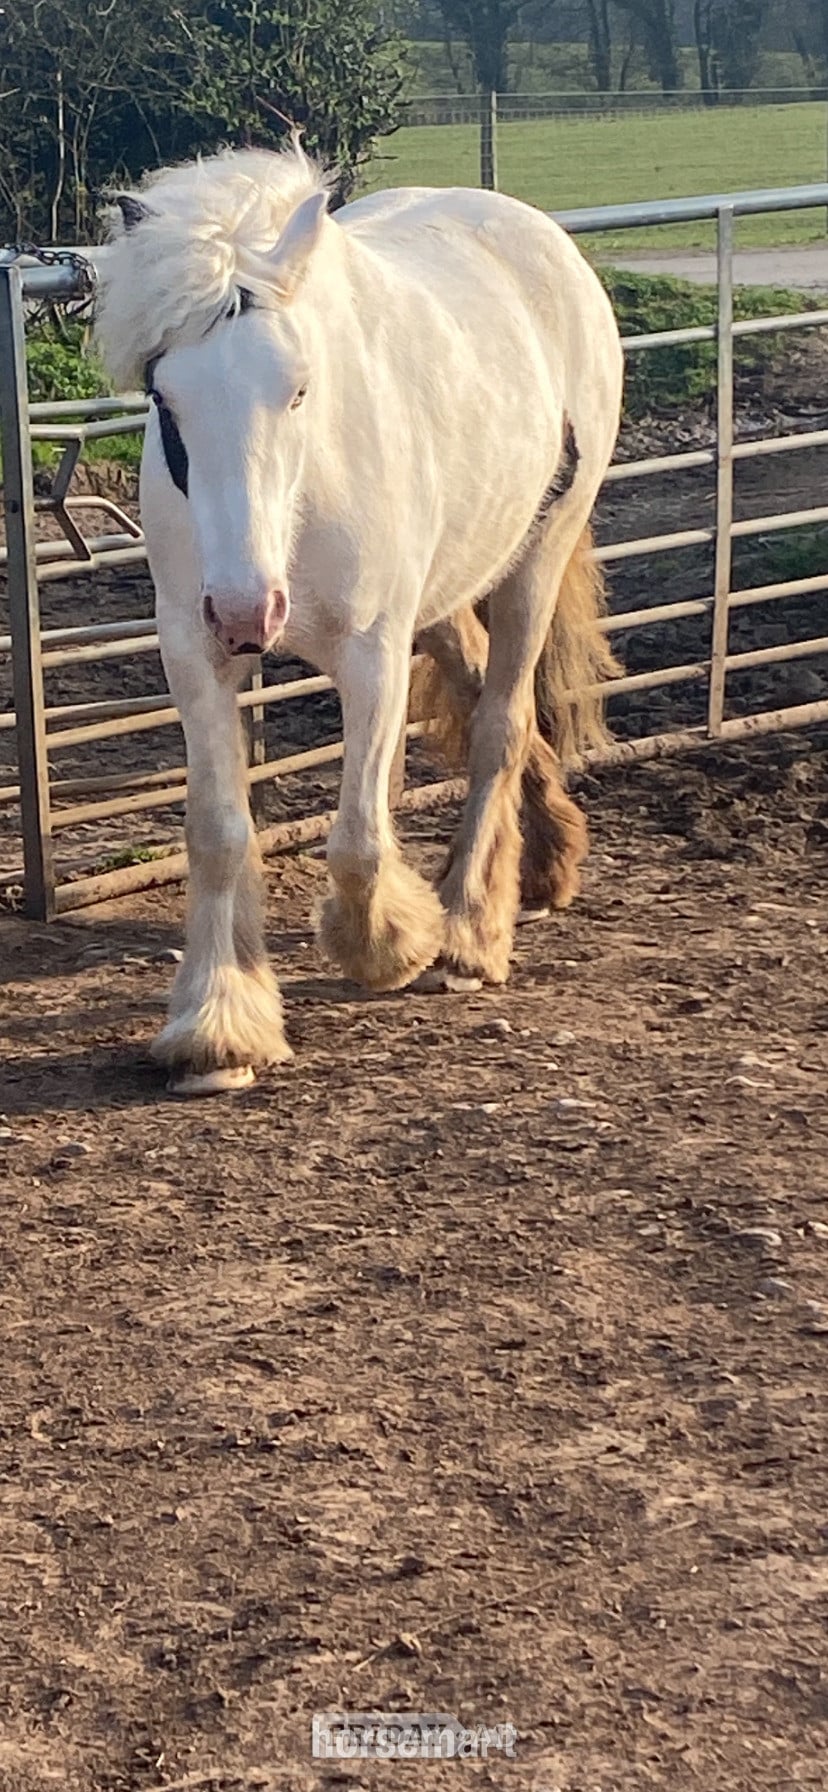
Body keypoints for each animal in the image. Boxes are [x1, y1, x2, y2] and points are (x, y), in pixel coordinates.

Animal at [95, 142, 623, 1096]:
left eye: (298, 390)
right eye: (164, 398)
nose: (247, 609)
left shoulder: (372, 655)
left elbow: (358, 840)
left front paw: (389, 945)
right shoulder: (193, 650)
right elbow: (218, 831)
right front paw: (218, 1027)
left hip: (536, 555)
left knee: (501, 721)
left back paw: (469, 934)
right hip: (447, 589)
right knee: (484, 696)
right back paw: (545, 862)